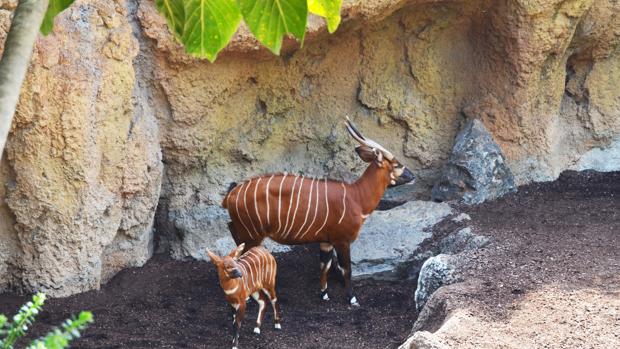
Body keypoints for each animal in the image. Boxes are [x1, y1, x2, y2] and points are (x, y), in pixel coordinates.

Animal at [220, 117, 414, 304]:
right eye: (397, 164)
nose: (413, 176)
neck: (357, 197)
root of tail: (230, 195)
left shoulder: (326, 242)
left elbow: (324, 266)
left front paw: (324, 294)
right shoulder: (342, 240)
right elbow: (347, 269)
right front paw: (352, 299)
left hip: (246, 232)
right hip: (253, 234)